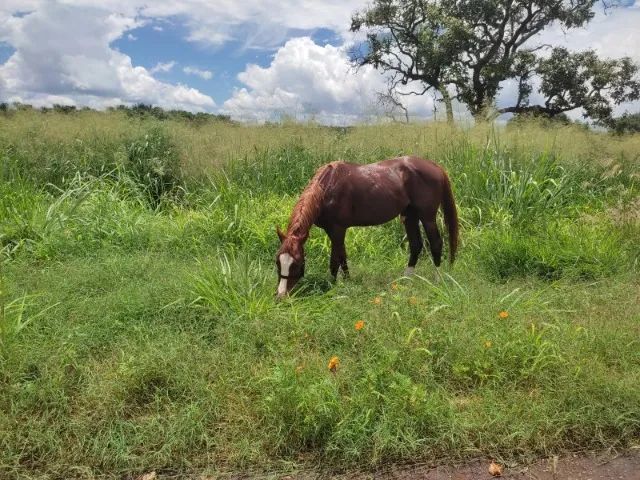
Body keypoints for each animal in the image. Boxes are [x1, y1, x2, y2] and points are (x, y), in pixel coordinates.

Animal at [275, 156, 459, 299]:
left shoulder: (337, 229)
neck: (327, 187)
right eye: (277, 262)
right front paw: (347, 281)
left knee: (436, 243)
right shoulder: (335, 231)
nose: (280, 295)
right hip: (410, 216)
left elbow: (335, 260)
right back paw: (406, 279)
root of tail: (435, 167)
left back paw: (437, 280)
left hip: (427, 217)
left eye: (297, 263)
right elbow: (342, 256)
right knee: (416, 245)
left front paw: (332, 285)